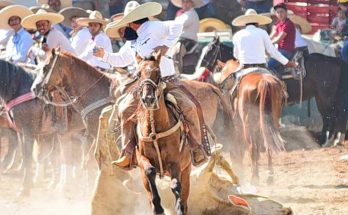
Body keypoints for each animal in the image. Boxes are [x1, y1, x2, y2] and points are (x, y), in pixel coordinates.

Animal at [136, 56, 192, 214]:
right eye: (138, 74)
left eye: (158, 73)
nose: (148, 98)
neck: (154, 131)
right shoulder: (140, 157)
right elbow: (149, 170)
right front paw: (158, 206)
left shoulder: (176, 162)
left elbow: (175, 185)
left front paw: (178, 208)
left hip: (186, 171)